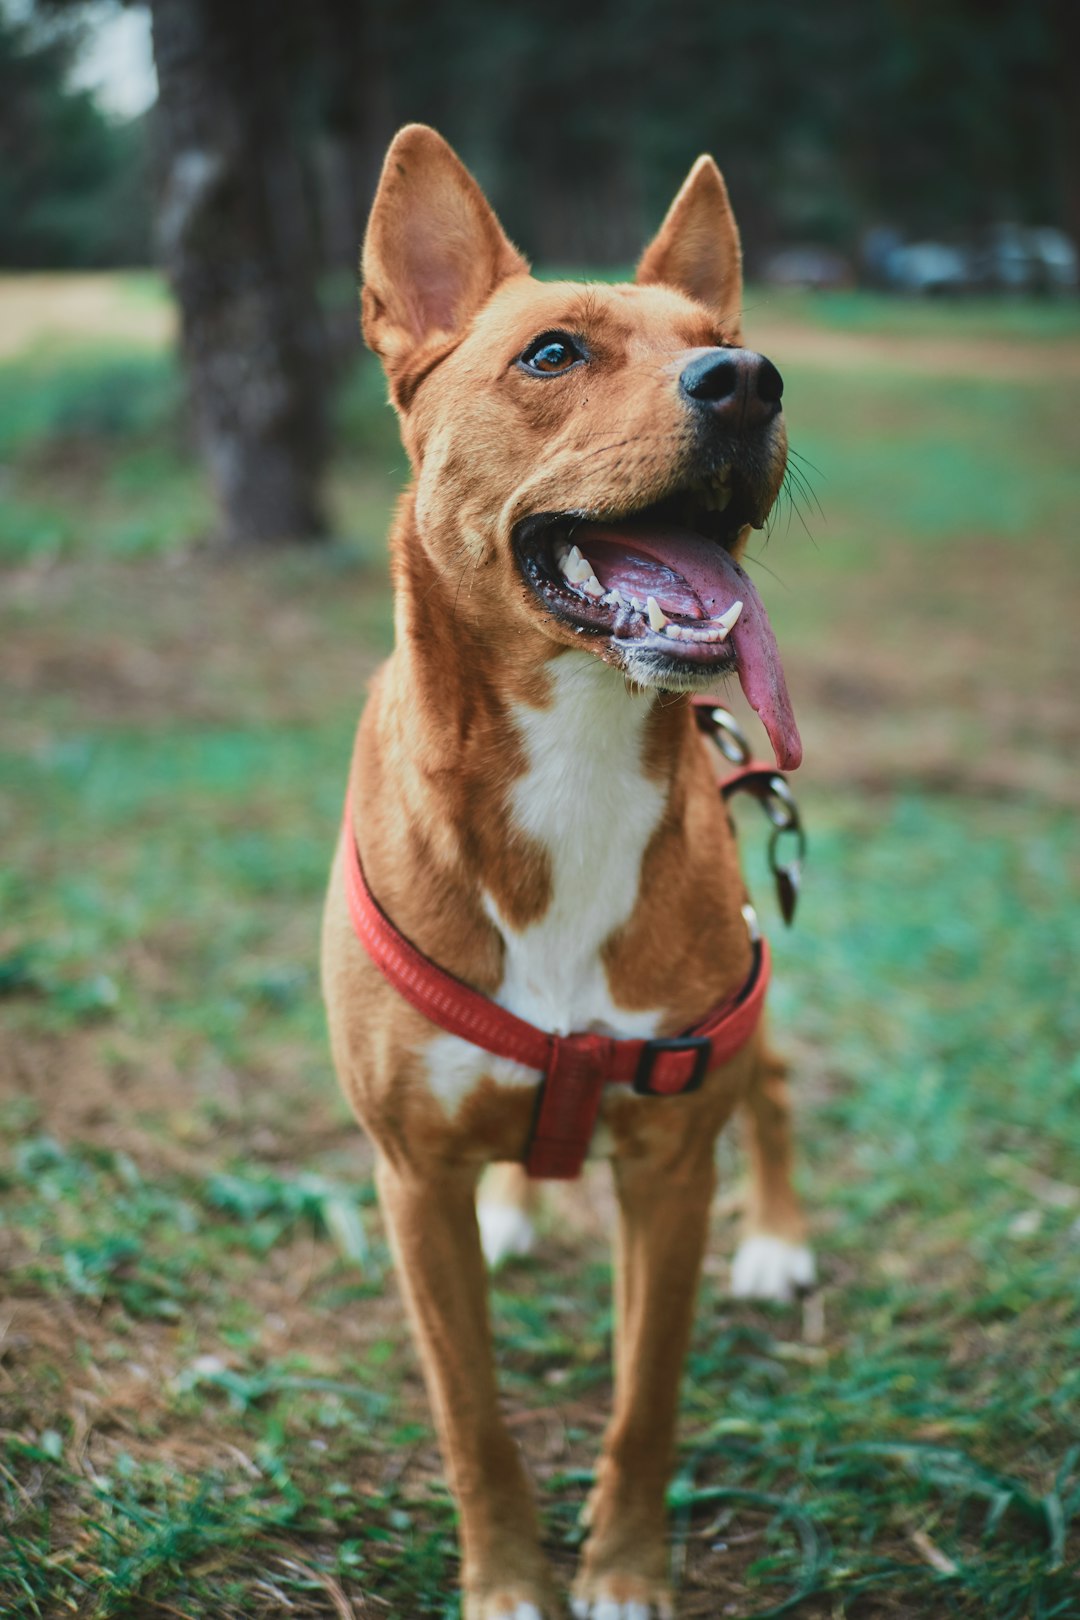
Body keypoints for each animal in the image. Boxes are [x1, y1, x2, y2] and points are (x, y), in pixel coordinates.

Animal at [325, 126, 816, 1620]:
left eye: (722, 344)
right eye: (551, 353)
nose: (750, 381)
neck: (575, 750)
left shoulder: (670, 1161)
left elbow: (644, 1399)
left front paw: (623, 1572)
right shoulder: (410, 1180)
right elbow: (470, 1414)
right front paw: (504, 1581)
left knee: (776, 1090)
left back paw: (779, 1239)